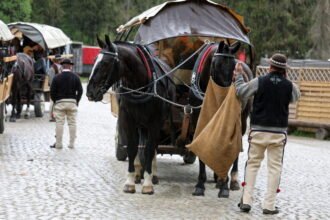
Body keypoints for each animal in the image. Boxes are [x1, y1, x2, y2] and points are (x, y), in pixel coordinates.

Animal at [86, 34, 177, 194]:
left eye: (105, 63)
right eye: (95, 60)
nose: (90, 91)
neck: (140, 86)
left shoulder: (154, 123)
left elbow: (149, 148)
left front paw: (148, 183)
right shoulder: (128, 120)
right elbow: (132, 147)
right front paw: (130, 180)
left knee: (152, 146)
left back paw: (152, 174)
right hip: (140, 123)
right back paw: (138, 172)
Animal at [189, 41, 251, 198]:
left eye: (234, 67)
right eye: (217, 65)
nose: (230, 98)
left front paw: (224, 185)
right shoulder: (198, 119)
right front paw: (200, 184)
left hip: (241, 120)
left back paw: (232, 180)